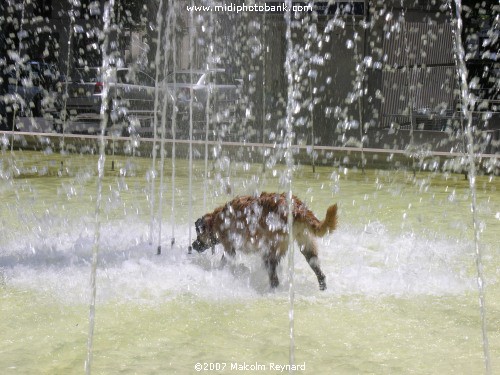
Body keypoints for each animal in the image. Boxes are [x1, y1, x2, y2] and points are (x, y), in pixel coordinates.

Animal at [190, 194, 336, 290]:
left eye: (198, 235)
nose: (192, 245)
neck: (216, 220)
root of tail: (298, 208)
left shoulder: (229, 247)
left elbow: (224, 261)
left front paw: (218, 271)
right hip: (306, 242)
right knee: (317, 268)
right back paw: (322, 286)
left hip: (272, 248)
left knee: (274, 277)